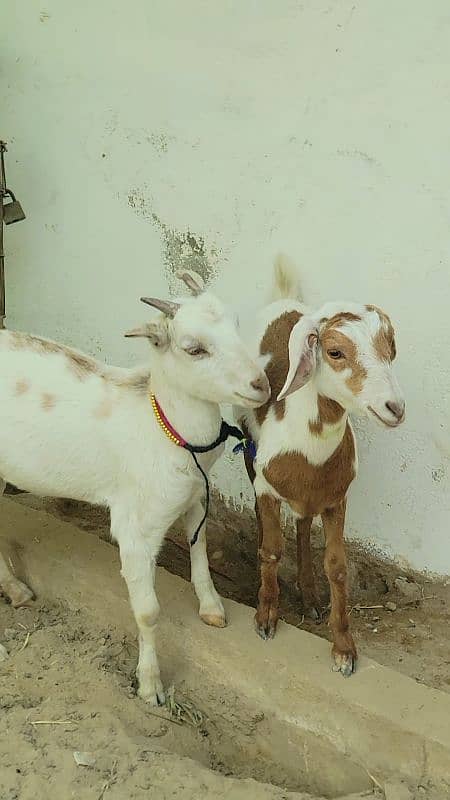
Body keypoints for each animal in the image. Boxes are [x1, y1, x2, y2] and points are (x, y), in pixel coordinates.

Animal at [0, 272, 268, 704]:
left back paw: (17, 590)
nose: (261, 384)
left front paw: (211, 607)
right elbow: (148, 611)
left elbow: (200, 550)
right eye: (194, 348)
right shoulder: (136, 528)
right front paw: (151, 685)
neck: (164, 426)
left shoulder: (196, 496)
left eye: (236, 323)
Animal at [237, 256, 406, 676]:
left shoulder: (336, 499)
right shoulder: (268, 487)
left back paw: (310, 596)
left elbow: (337, 566)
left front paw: (343, 648)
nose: (395, 408)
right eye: (335, 352)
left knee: (301, 525)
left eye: (390, 347)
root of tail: (283, 298)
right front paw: (266, 616)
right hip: (247, 445)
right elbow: (271, 549)